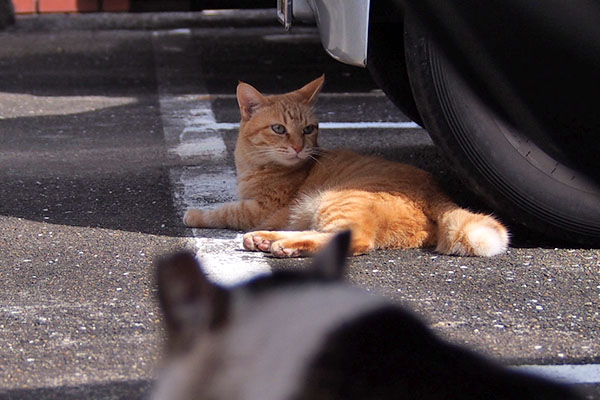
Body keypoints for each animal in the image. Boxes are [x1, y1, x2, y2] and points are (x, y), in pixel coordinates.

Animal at [185, 76, 508, 256]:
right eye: (278, 129)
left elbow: (225, 210)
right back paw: (265, 241)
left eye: (308, 129)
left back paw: (278, 244)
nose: (299, 147)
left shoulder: (262, 209)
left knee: (355, 239)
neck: (256, 164)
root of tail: (438, 192)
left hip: (334, 201)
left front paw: (195, 214)